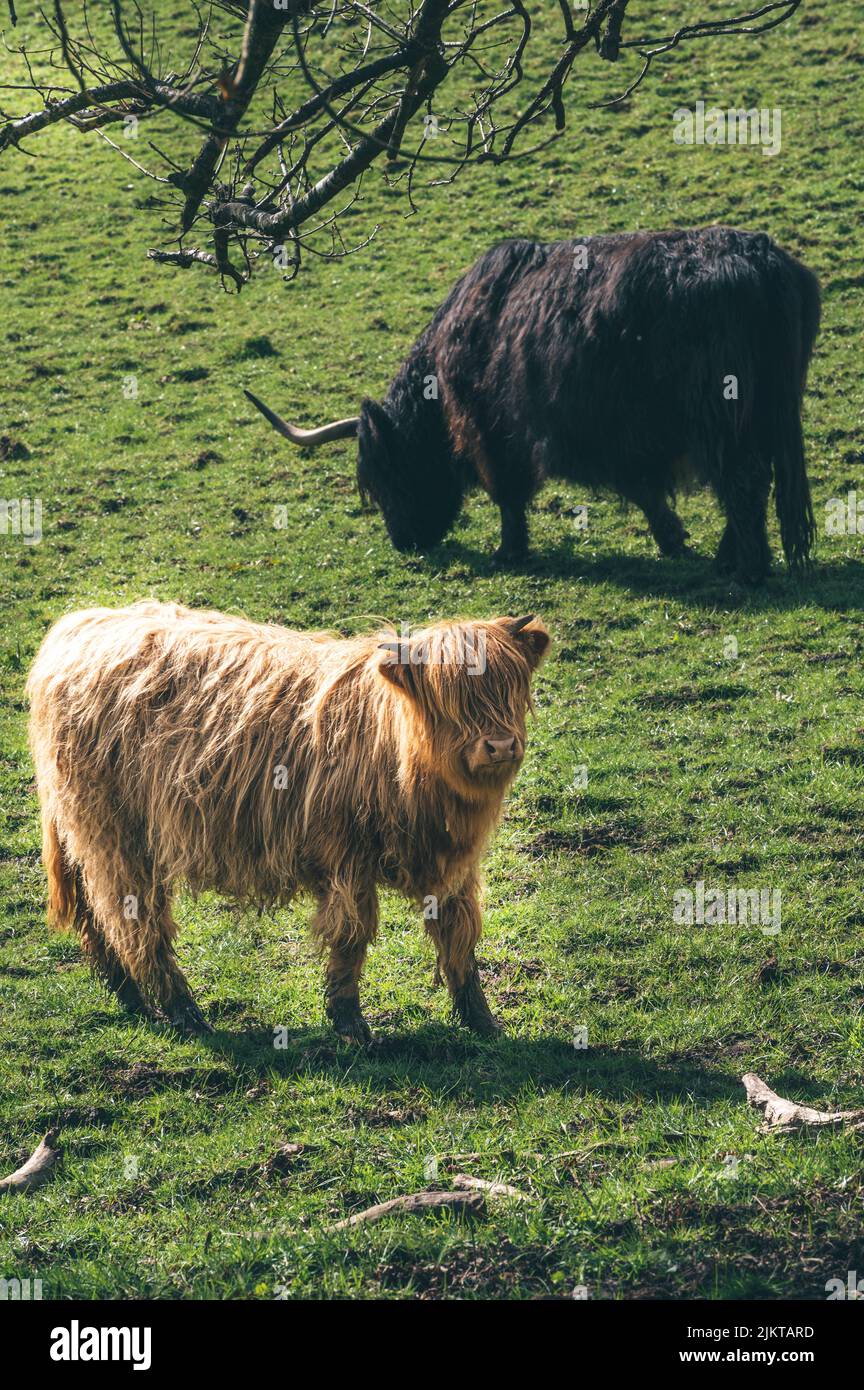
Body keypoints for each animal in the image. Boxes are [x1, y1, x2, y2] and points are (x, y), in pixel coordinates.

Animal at [27, 601, 550, 1041]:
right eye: (451, 698)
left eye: (510, 686)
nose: (500, 745)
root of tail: (80, 626)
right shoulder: (346, 858)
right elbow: (351, 935)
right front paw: (351, 1026)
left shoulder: (453, 866)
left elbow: (460, 935)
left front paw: (483, 1022)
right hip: (116, 834)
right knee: (133, 921)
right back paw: (183, 1013)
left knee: (95, 914)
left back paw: (133, 999)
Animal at [245, 226, 820, 583]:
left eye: (387, 476)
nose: (404, 541)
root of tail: (763, 260)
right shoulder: (619, 440)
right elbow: (644, 492)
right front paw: (673, 540)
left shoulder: (496, 431)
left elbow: (509, 493)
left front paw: (510, 551)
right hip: (761, 416)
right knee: (752, 482)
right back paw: (728, 561)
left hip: (722, 417)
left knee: (743, 482)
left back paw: (746, 570)